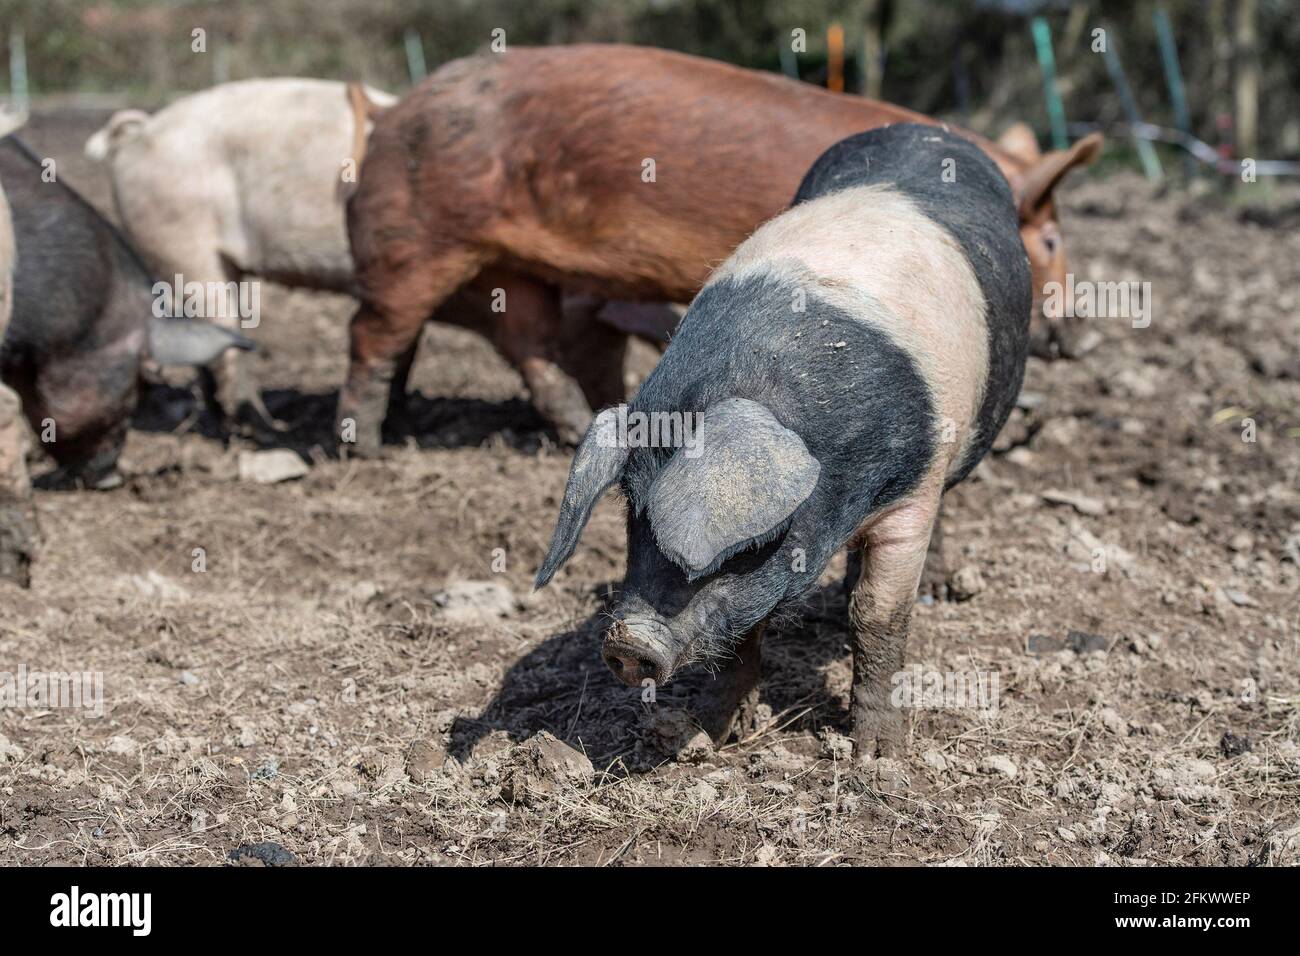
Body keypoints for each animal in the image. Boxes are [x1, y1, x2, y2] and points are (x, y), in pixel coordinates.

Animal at [533, 123, 1029, 764]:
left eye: (746, 549)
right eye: (633, 517)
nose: (627, 642)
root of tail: (922, 128)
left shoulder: (912, 491)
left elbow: (878, 616)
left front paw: (877, 756)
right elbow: (743, 631)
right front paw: (708, 735)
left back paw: (937, 591)